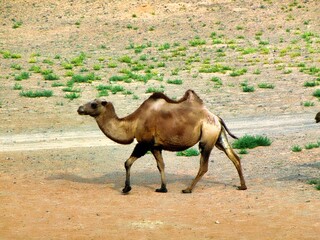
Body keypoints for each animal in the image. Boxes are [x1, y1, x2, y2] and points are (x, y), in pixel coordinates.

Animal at [78, 89, 248, 193]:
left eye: (93, 104)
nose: (80, 108)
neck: (133, 123)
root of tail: (216, 117)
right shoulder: (155, 146)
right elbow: (161, 165)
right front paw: (162, 188)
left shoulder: (144, 142)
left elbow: (127, 162)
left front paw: (126, 189)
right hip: (218, 136)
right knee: (234, 157)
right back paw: (242, 186)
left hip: (207, 137)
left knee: (204, 165)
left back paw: (187, 189)